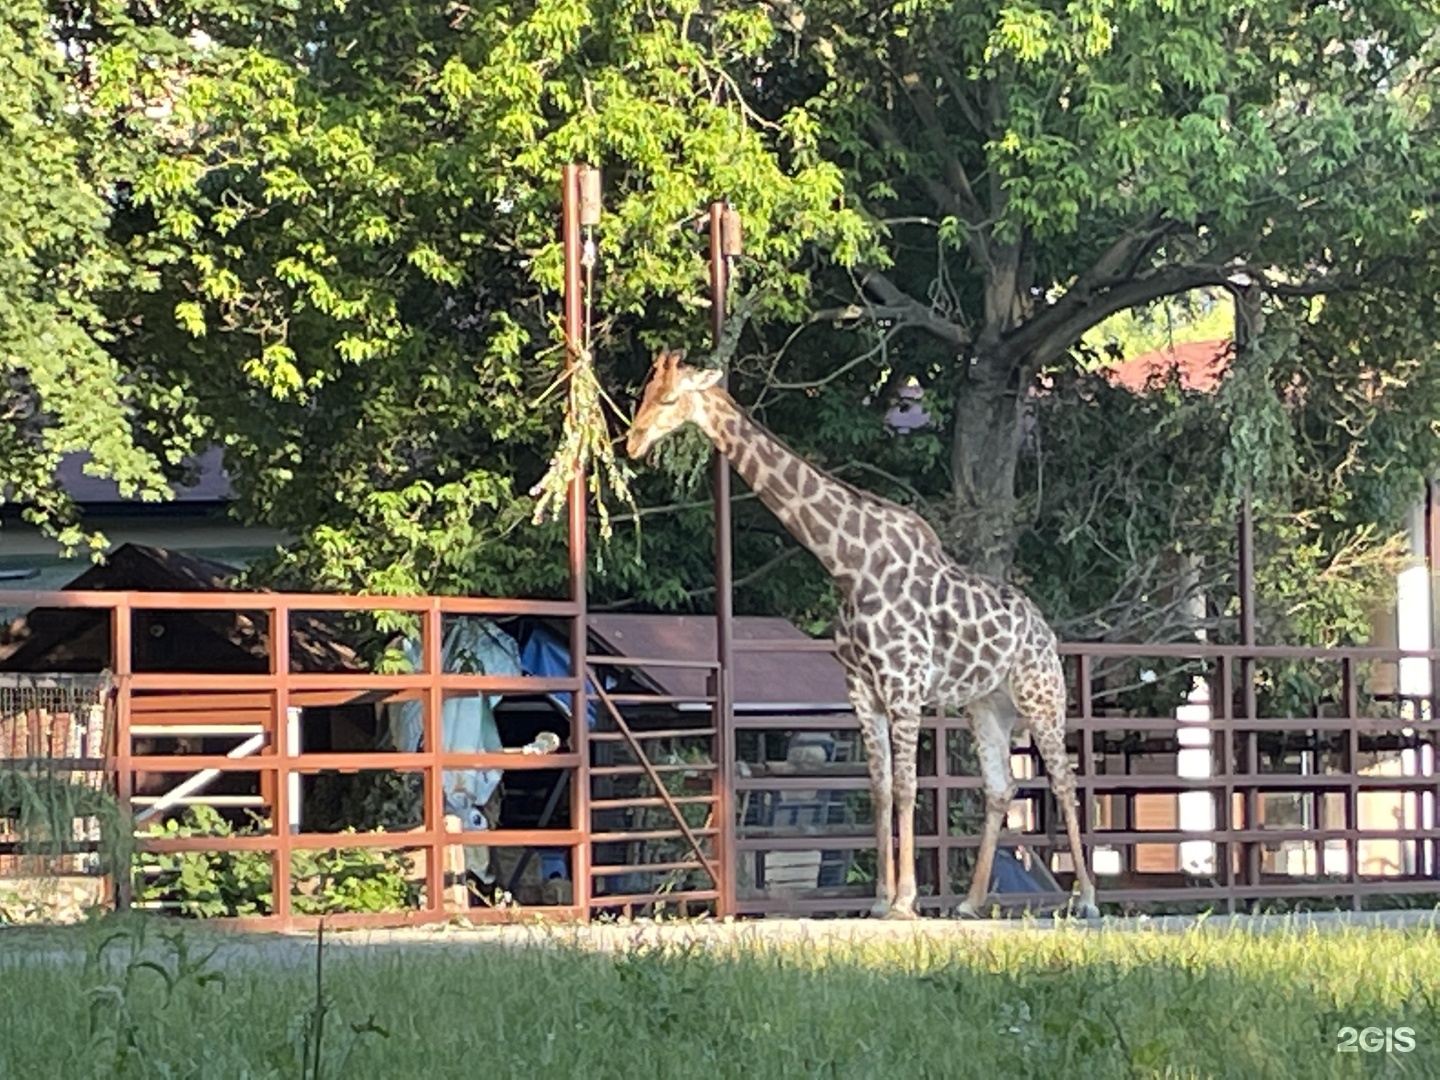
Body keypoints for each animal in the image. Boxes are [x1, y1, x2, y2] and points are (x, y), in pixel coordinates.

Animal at [622, 348, 1100, 921]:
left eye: (670, 398)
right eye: (644, 394)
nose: (632, 442)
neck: (849, 564)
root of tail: (1045, 630)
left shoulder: (904, 685)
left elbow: (909, 787)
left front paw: (907, 901)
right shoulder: (862, 689)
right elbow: (879, 789)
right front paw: (878, 900)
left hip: (1040, 695)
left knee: (1065, 779)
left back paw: (1087, 900)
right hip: (988, 705)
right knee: (1001, 787)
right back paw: (969, 903)